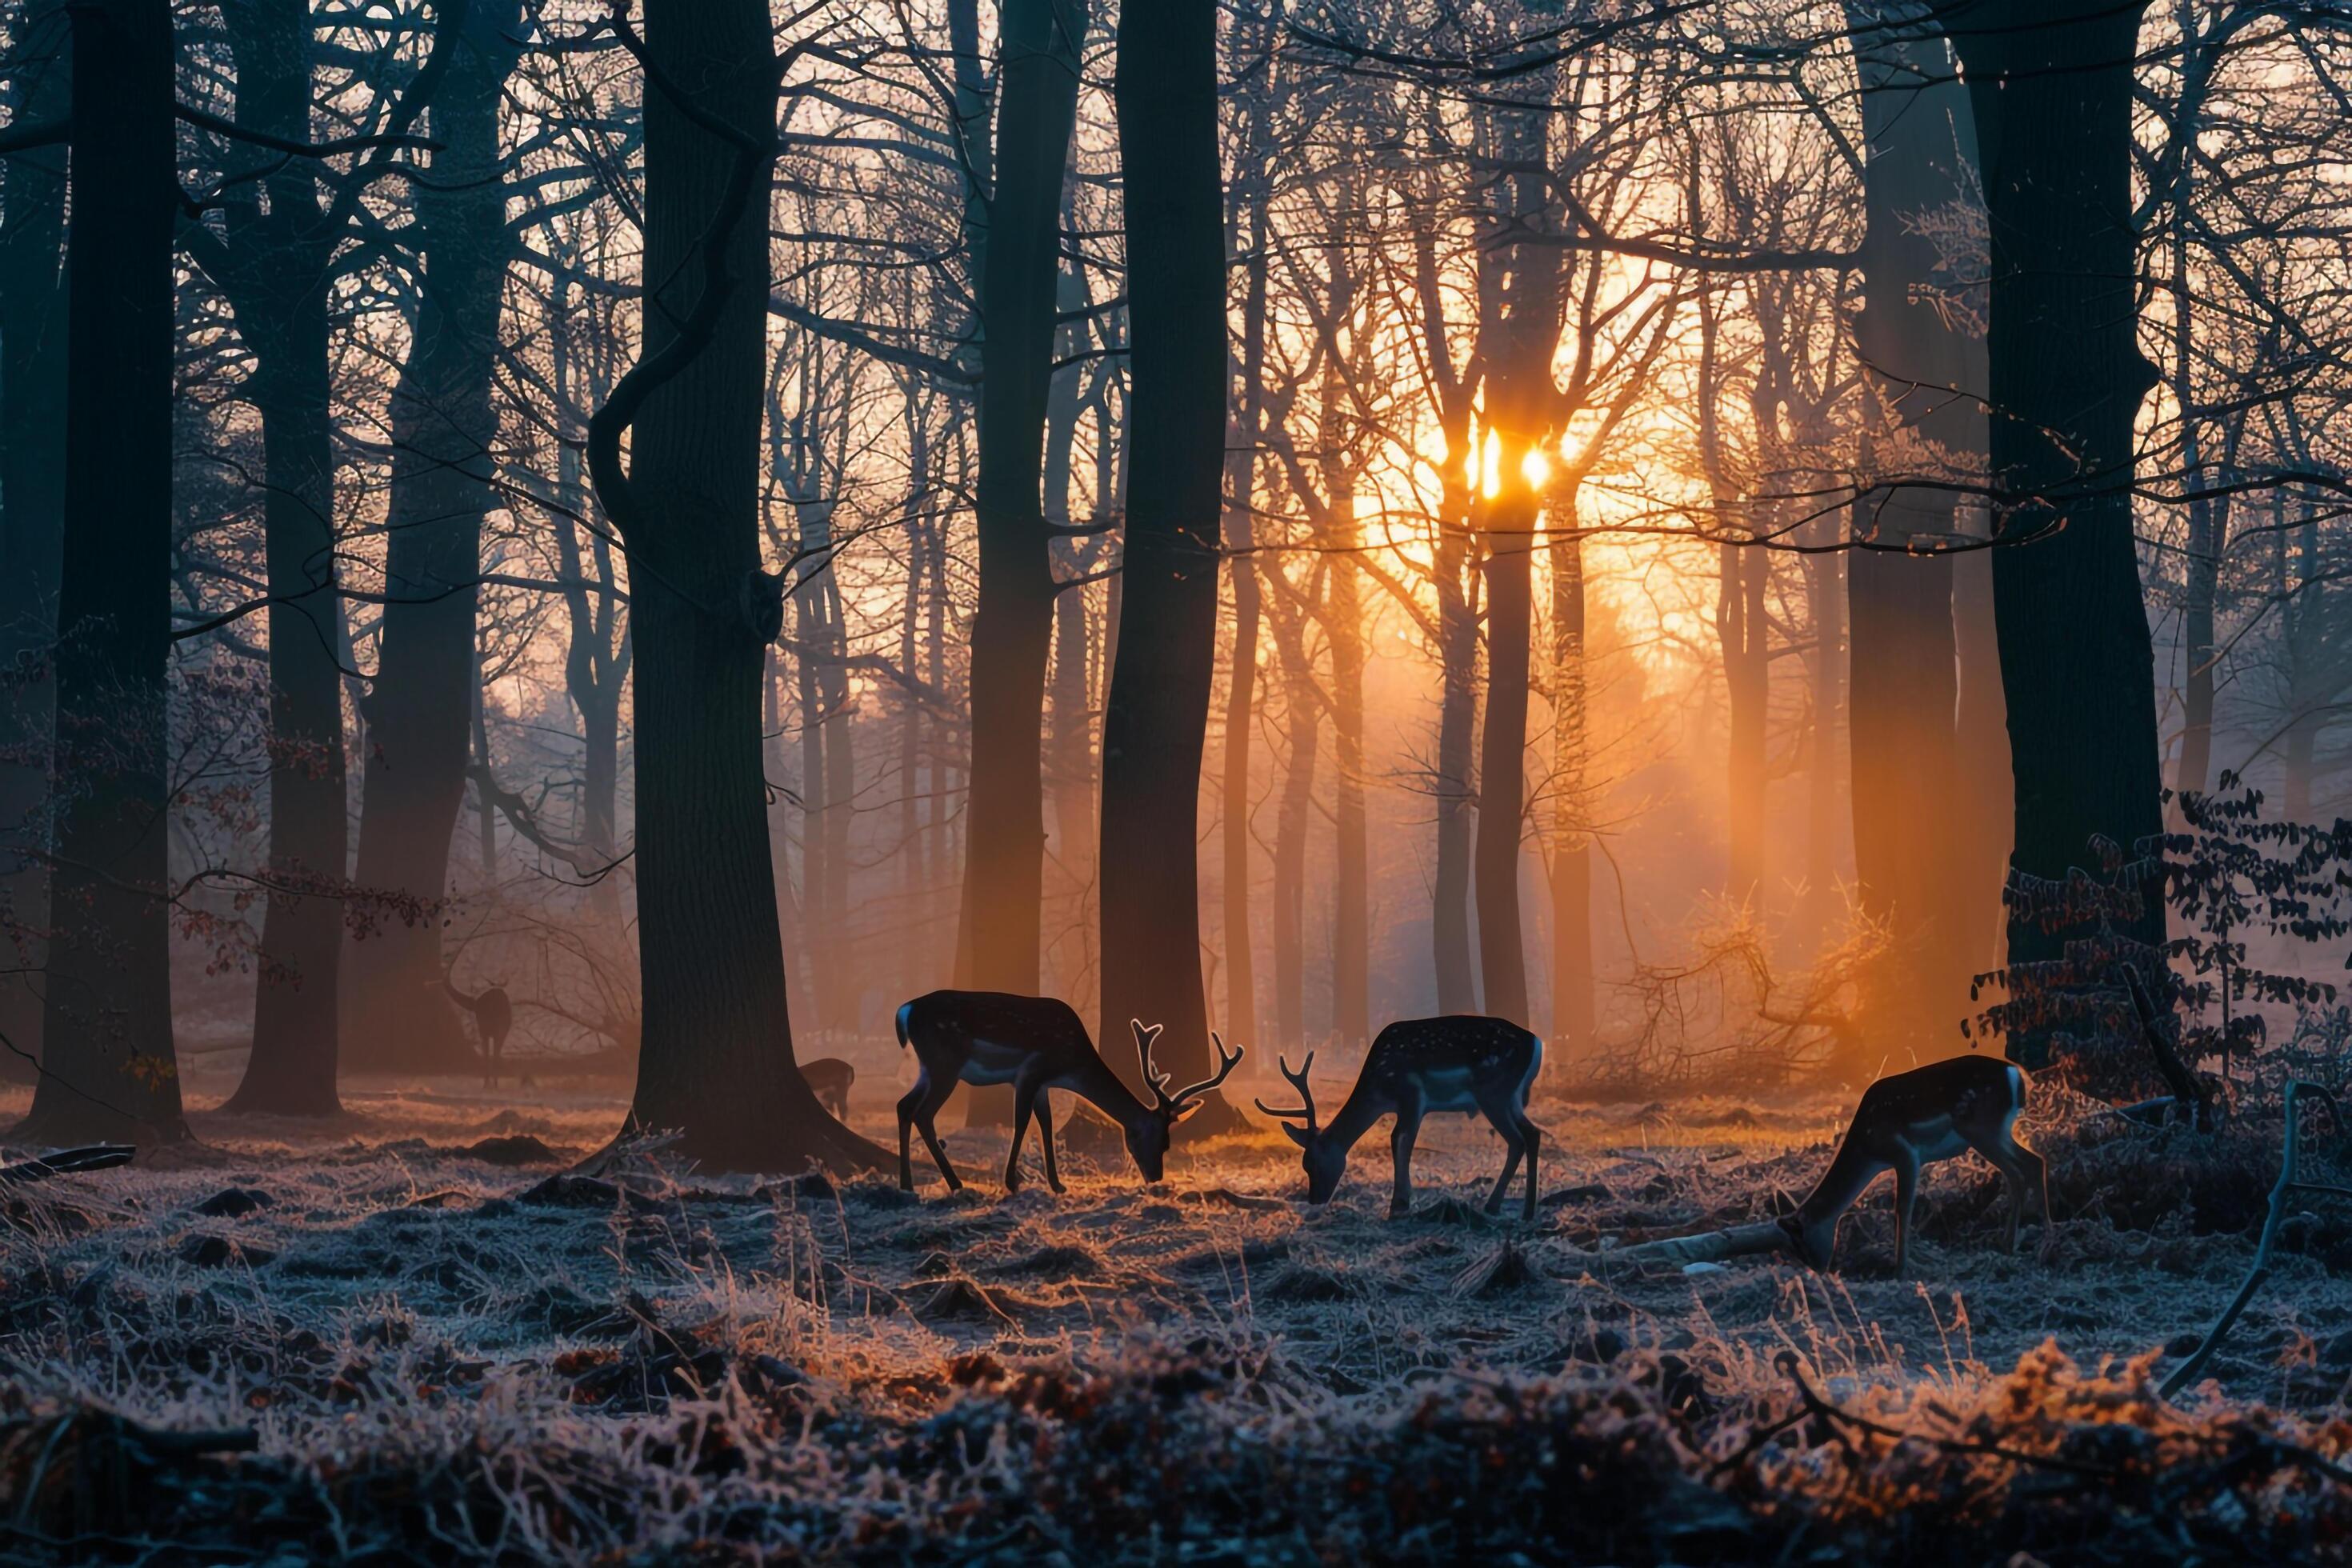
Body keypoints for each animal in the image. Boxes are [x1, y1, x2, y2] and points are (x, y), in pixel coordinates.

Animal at [884, 992, 1251, 1203]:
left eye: (1167, 1143)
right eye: (1156, 1140)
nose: (1156, 1176)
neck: (1074, 1064)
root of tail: (904, 1011)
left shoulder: (1045, 1084)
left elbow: (1046, 1125)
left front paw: (1057, 1184)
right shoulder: (1031, 1071)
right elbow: (1022, 1123)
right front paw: (1012, 1182)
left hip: (930, 1067)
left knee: (904, 1106)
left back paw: (909, 1184)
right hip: (945, 1063)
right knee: (922, 1113)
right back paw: (950, 1182)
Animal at [1251, 1020, 1542, 1222]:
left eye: (1311, 1163)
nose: (1315, 1199)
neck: (1379, 1088)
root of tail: (1537, 1043)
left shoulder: (1412, 1094)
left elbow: (1400, 1140)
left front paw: (1398, 1205)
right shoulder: (1410, 1104)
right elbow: (1402, 1140)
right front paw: (1401, 1202)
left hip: (1494, 1092)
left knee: (1518, 1139)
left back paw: (1504, 1206)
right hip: (1510, 1098)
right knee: (1532, 1134)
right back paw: (1521, 1209)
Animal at [1787, 1053, 2050, 1278]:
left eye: (1801, 1243)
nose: (1818, 1270)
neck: (1869, 1151)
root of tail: (2015, 1076)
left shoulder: (1905, 1154)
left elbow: (1903, 1207)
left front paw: (1900, 1270)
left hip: (1980, 1127)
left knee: (2017, 1171)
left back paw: (2024, 1240)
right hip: (1998, 1130)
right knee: (2034, 1162)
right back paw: (2036, 1232)